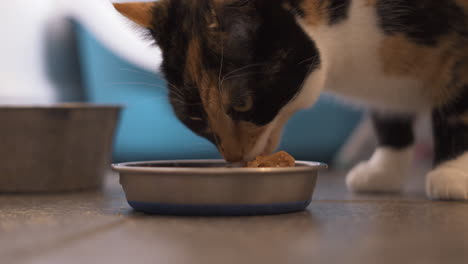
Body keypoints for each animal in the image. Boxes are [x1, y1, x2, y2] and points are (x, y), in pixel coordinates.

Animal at [114, 0, 468, 200]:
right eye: (196, 118)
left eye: (243, 105)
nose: (232, 157)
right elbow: (389, 116)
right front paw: (383, 172)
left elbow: (456, 110)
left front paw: (452, 174)